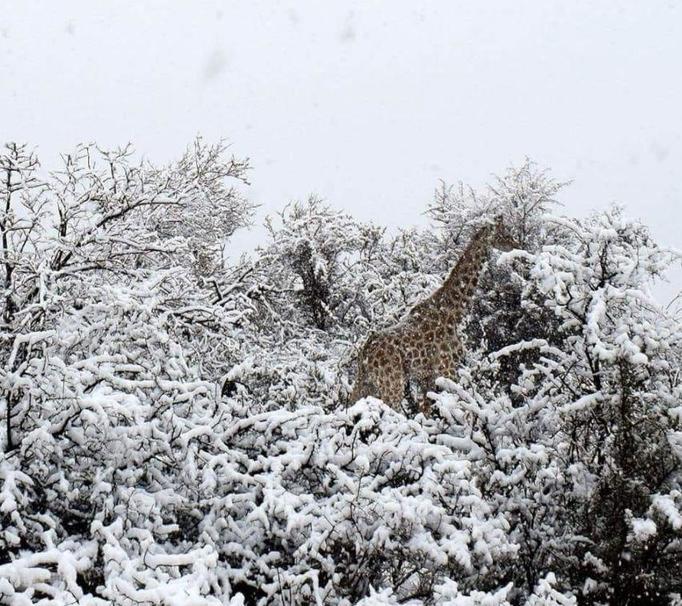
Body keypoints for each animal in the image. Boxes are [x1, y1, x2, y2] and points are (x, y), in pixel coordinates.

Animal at [354, 216, 512, 416]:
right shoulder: (447, 368)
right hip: (392, 382)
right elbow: (457, 406)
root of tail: (365, 351)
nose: (516, 243)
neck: (453, 313)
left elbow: (426, 410)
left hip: (368, 383)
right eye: (503, 232)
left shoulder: (426, 376)